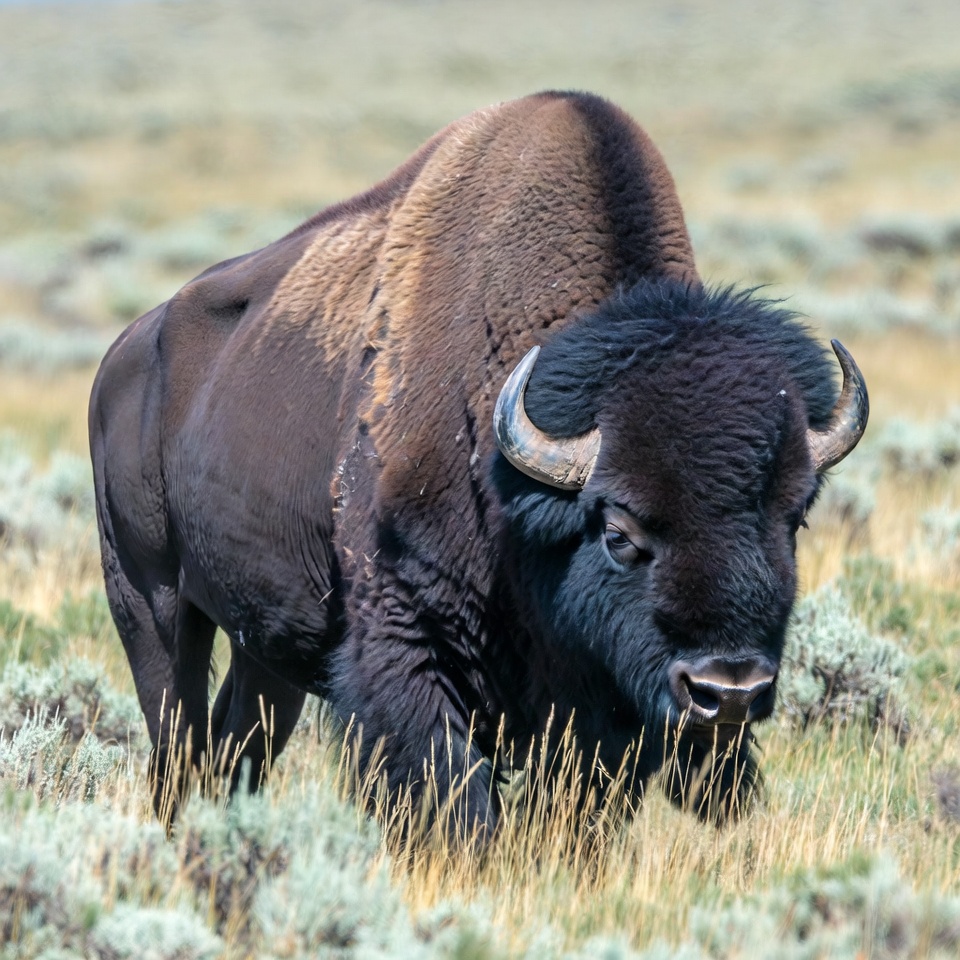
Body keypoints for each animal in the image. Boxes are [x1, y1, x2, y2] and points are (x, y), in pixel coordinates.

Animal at [89, 91, 867, 832]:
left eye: (794, 519)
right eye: (619, 533)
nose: (728, 691)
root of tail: (121, 356)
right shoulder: (409, 646)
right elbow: (455, 802)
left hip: (266, 645)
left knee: (236, 745)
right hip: (150, 603)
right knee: (177, 743)